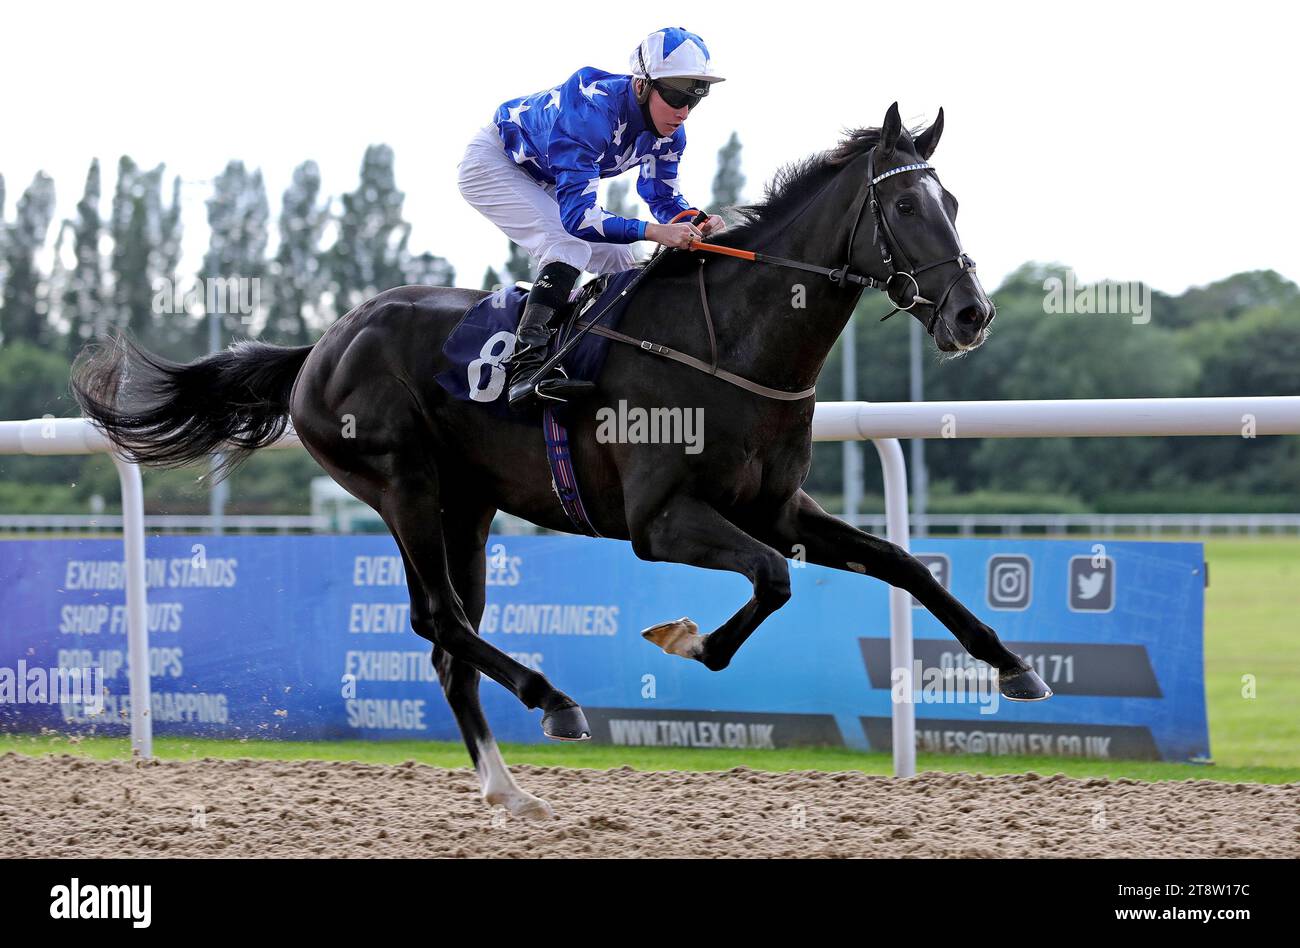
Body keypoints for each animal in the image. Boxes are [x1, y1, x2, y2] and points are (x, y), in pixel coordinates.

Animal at [71, 100, 1050, 816]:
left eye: (952, 203)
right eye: (904, 206)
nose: (972, 314)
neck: (729, 345)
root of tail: (320, 345)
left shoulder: (775, 508)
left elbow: (900, 563)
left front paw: (1011, 664)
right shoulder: (661, 523)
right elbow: (771, 580)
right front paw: (691, 641)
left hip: (467, 508)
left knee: (449, 644)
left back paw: (508, 788)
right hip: (401, 486)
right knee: (438, 621)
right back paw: (553, 699)